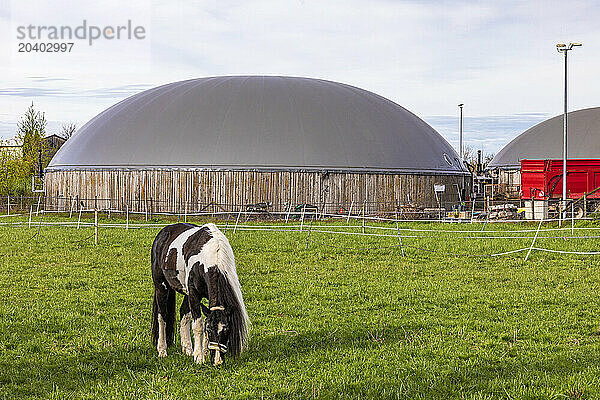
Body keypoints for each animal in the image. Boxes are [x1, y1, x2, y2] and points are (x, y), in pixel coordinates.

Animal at [152, 222, 251, 366]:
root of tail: (163, 232)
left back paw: (187, 349)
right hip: (161, 287)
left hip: (185, 293)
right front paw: (199, 357)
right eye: (209, 330)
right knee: (162, 316)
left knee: (184, 313)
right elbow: (198, 325)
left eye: (226, 329)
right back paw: (162, 350)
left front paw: (203, 352)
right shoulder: (194, 294)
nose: (217, 361)